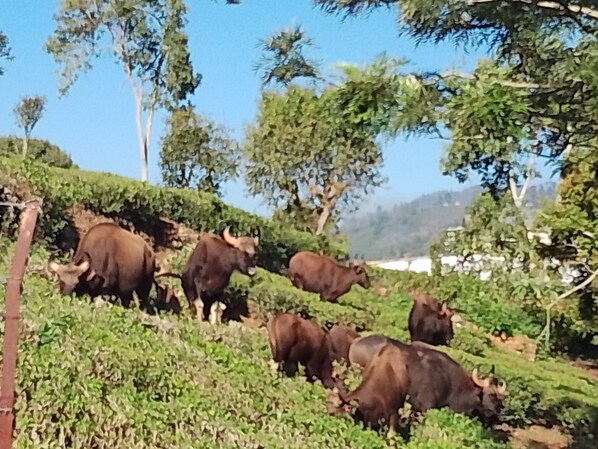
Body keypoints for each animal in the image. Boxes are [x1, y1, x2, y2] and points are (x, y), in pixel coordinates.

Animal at [345, 334, 507, 426]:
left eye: (501, 397)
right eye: (491, 394)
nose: (498, 412)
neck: (450, 382)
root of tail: (356, 341)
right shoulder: (424, 407)